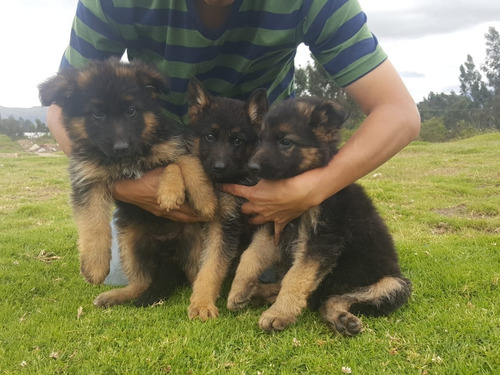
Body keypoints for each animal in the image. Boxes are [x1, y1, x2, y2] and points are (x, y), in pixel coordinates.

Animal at [38, 57, 215, 306]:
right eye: (97, 114)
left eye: (131, 111)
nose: (121, 147)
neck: (128, 159)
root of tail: (167, 251)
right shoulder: (88, 181)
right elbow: (92, 222)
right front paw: (94, 266)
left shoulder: (178, 146)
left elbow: (182, 165)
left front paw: (201, 199)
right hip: (130, 244)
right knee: (141, 282)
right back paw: (117, 295)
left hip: (195, 243)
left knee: (196, 277)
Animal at [227, 97, 410, 338]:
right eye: (261, 139)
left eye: (286, 142)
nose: (252, 167)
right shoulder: (274, 228)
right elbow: (250, 256)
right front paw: (238, 289)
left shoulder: (321, 240)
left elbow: (297, 276)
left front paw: (279, 313)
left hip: (394, 284)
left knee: (334, 300)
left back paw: (340, 318)